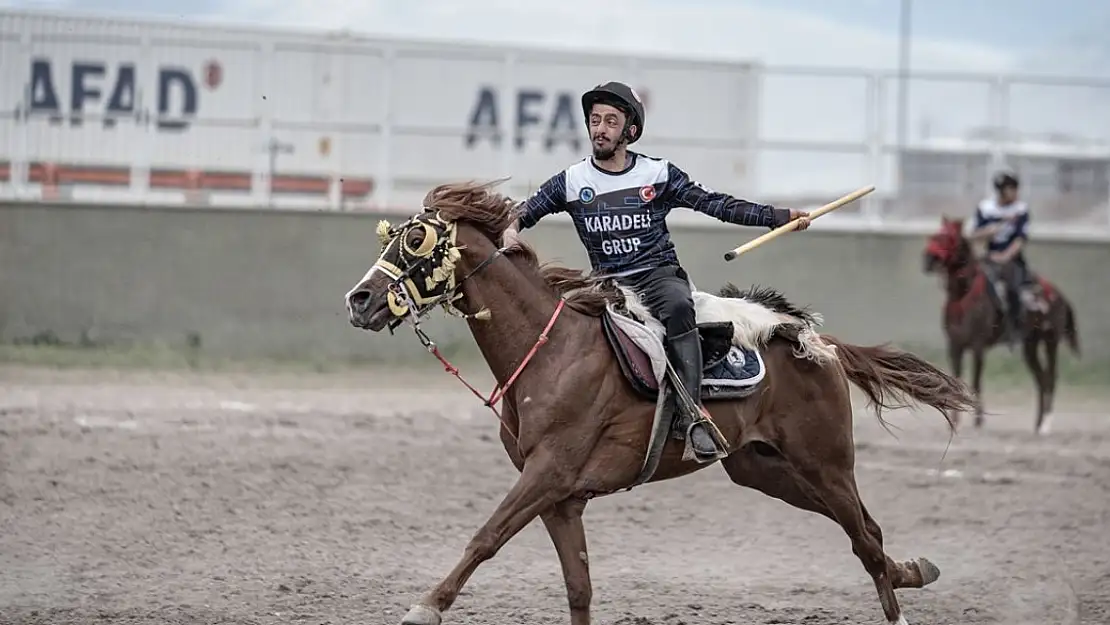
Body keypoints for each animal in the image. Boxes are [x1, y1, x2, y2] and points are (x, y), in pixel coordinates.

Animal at [341, 180, 976, 625]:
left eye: (415, 241)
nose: (359, 299)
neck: (552, 350)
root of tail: (813, 340)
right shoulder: (560, 500)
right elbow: (578, 588)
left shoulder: (547, 474)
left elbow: (485, 537)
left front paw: (426, 605)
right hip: (767, 470)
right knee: (869, 532)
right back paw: (916, 569)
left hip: (825, 463)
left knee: (864, 537)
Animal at [919, 216, 1083, 435]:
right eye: (935, 235)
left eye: (948, 238)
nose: (928, 260)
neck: (963, 295)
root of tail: (1060, 296)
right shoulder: (955, 347)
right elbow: (955, 379)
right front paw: (954, 422)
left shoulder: (978, 347)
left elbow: (976, 381)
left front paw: (978, 421)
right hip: (1031, 346)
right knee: (1041, 380)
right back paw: (1037, 424)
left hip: (1051, 341)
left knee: (1050, 378)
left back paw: (1046, 424)